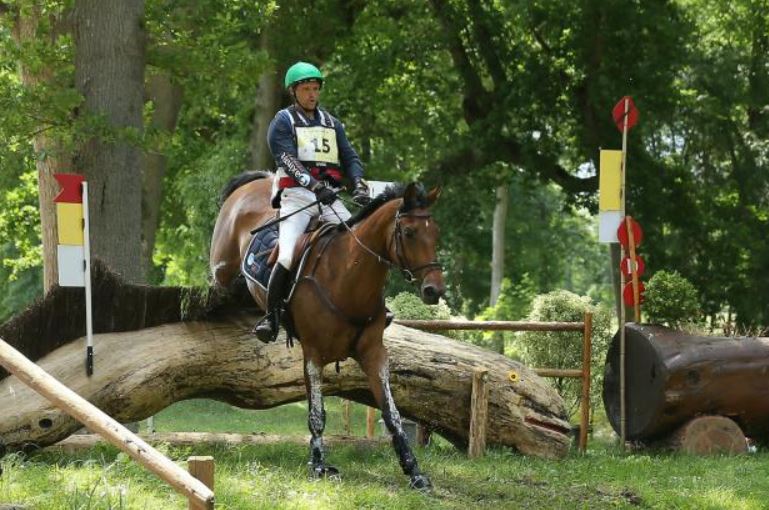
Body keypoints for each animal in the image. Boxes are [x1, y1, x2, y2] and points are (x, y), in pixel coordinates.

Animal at [210, 171, 448, 490]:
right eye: (409, 232)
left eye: (436, 234)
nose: (434, 290)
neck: (347, 278)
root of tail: (259, 180)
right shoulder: (313, 353)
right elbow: (317, 414)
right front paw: (319, 465)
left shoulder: (374, 354)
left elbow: (392, 413)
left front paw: (414, 471)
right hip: (222, 264)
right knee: (219, 279)